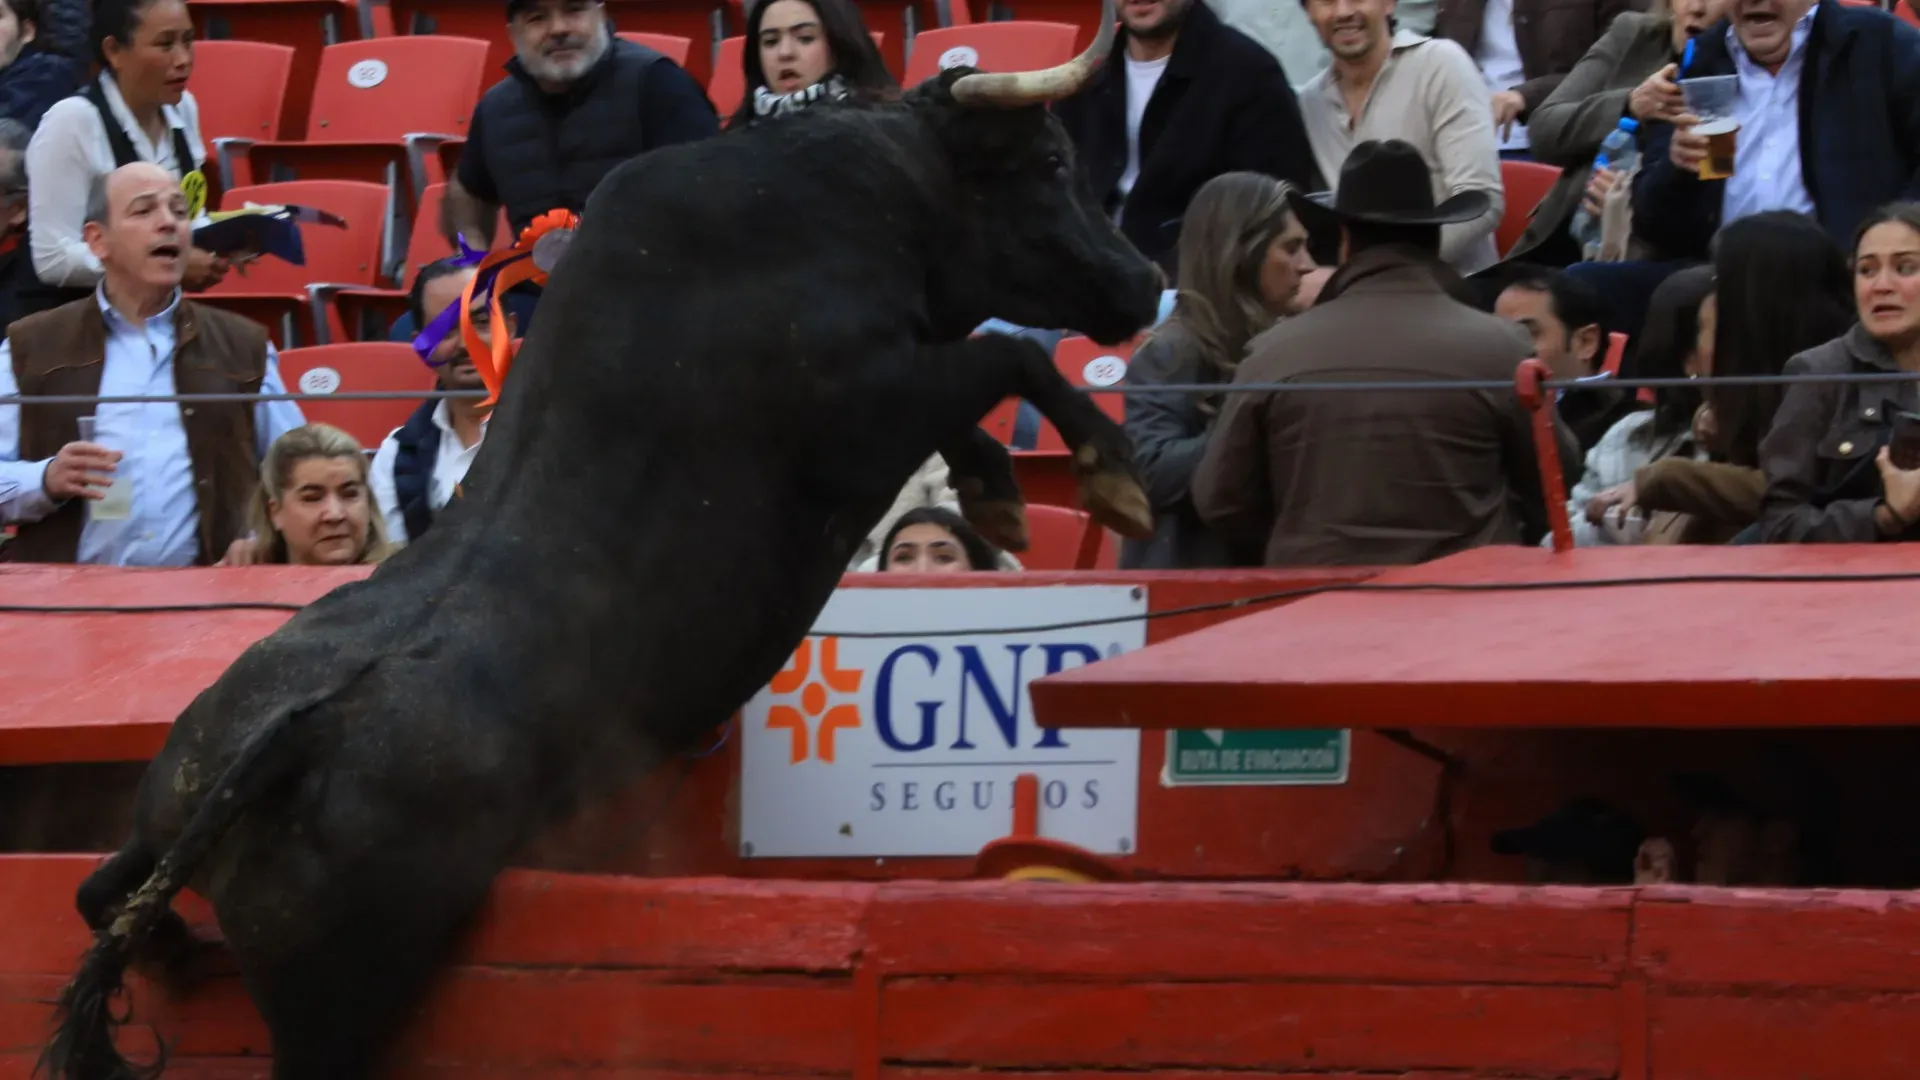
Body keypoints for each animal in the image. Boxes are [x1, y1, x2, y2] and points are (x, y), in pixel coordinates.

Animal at [41, 42, 1152, 1076]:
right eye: (1051, 160)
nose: (1144, 281)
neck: (851, 197)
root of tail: (288, 739)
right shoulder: (865, 408)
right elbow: (1007, 356)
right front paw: (1107, 480)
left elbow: (982, 386)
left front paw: (1002, 495)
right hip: (336, 1001)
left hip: (162, 813)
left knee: (100, 890)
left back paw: (172, 950)